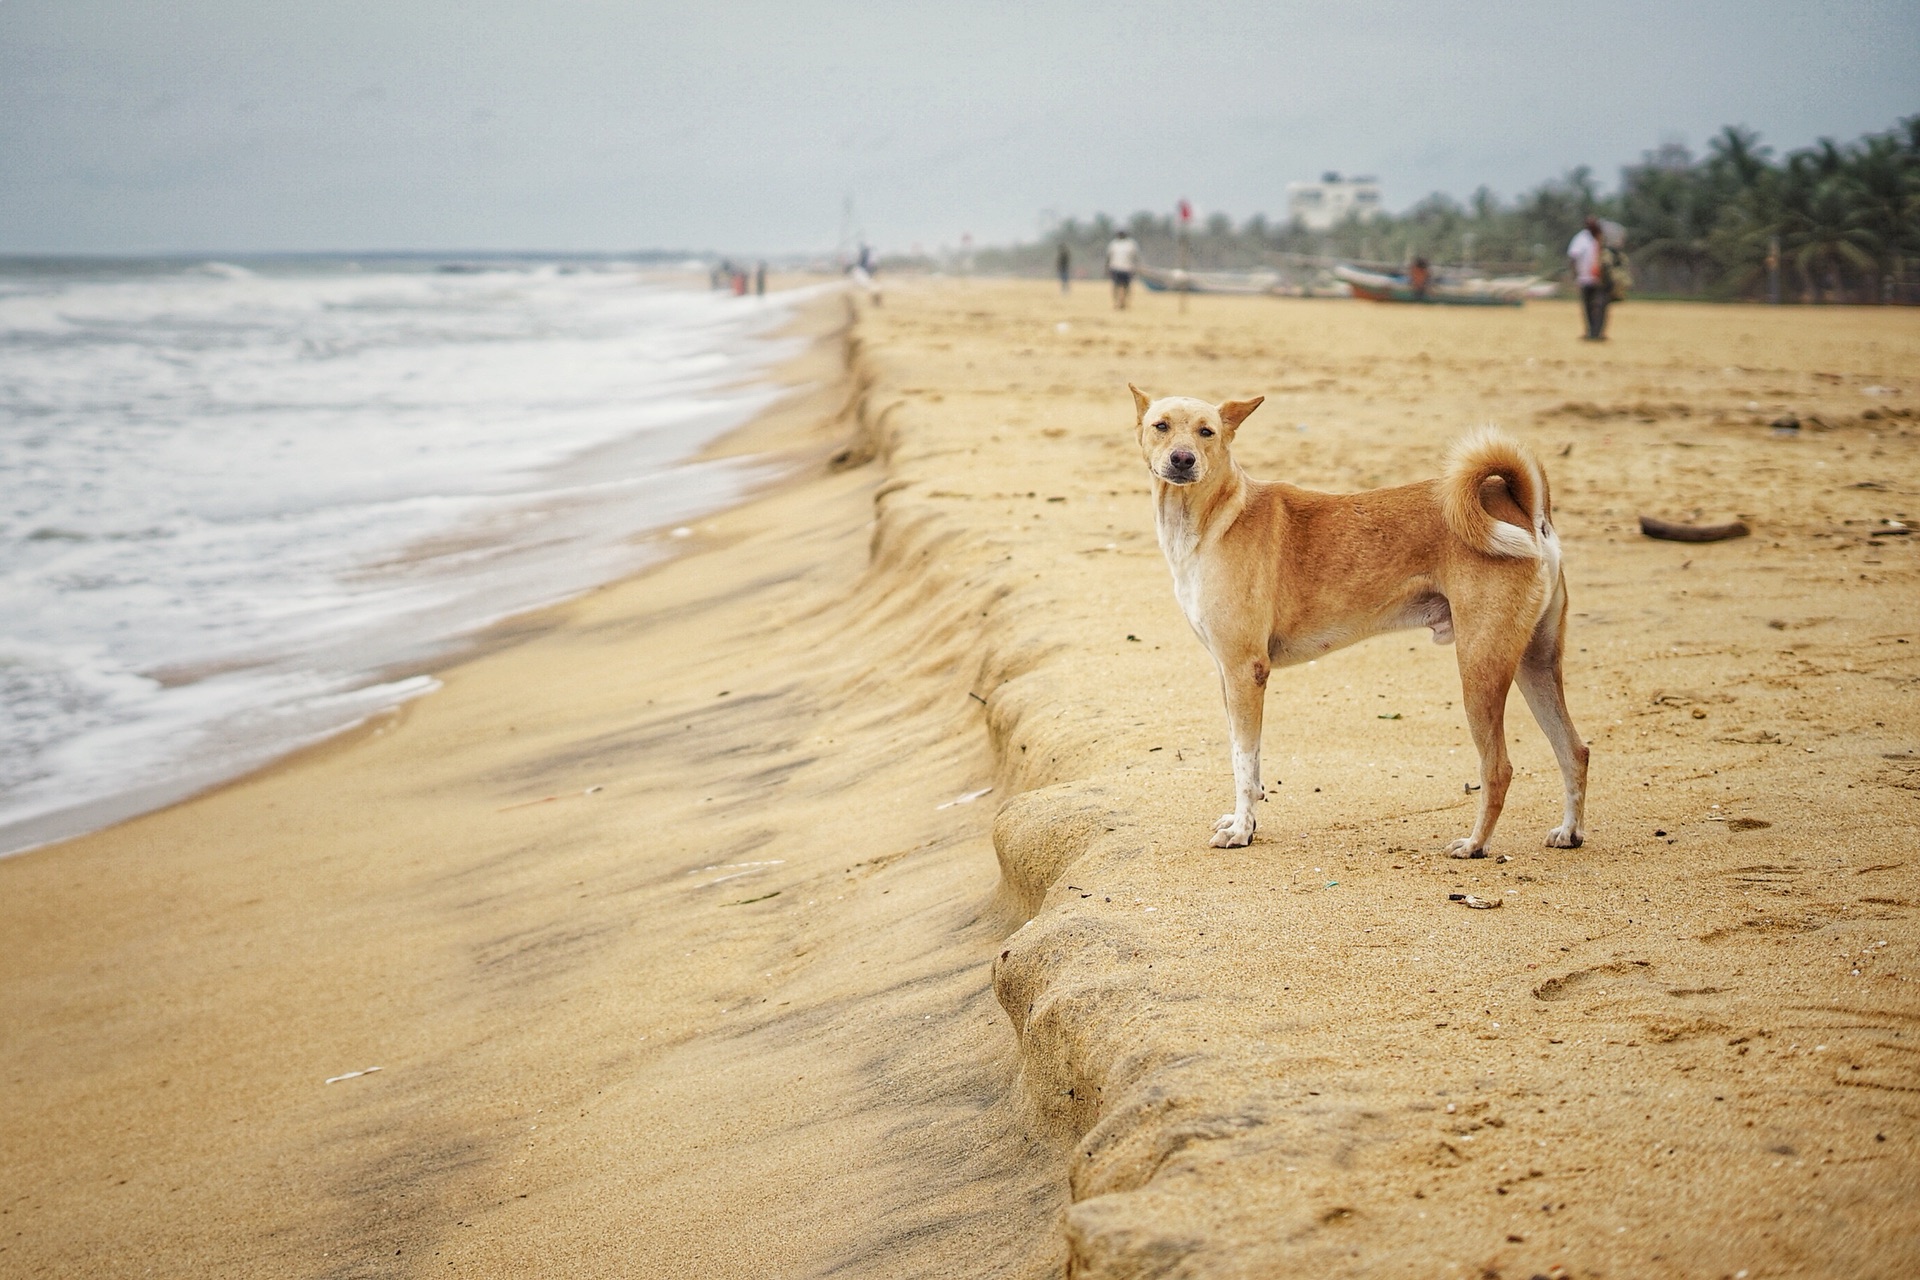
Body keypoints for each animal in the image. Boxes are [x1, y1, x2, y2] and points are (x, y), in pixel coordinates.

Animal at [1128, 385, 1582, 855]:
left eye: (1207, 432)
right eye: (1161, 426)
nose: (1183, 459)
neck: (1216, 516)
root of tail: (1523, 508)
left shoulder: (1244, 671)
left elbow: (1243, 764)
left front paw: (1240, 831)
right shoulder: (1228, 674)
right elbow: (1248, 767)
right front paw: (1244, 822)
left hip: (1480, 667)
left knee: (1499, 768)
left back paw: (1475, 844)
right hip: (1534, 662)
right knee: (1574, 750)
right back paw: (1569, 832)